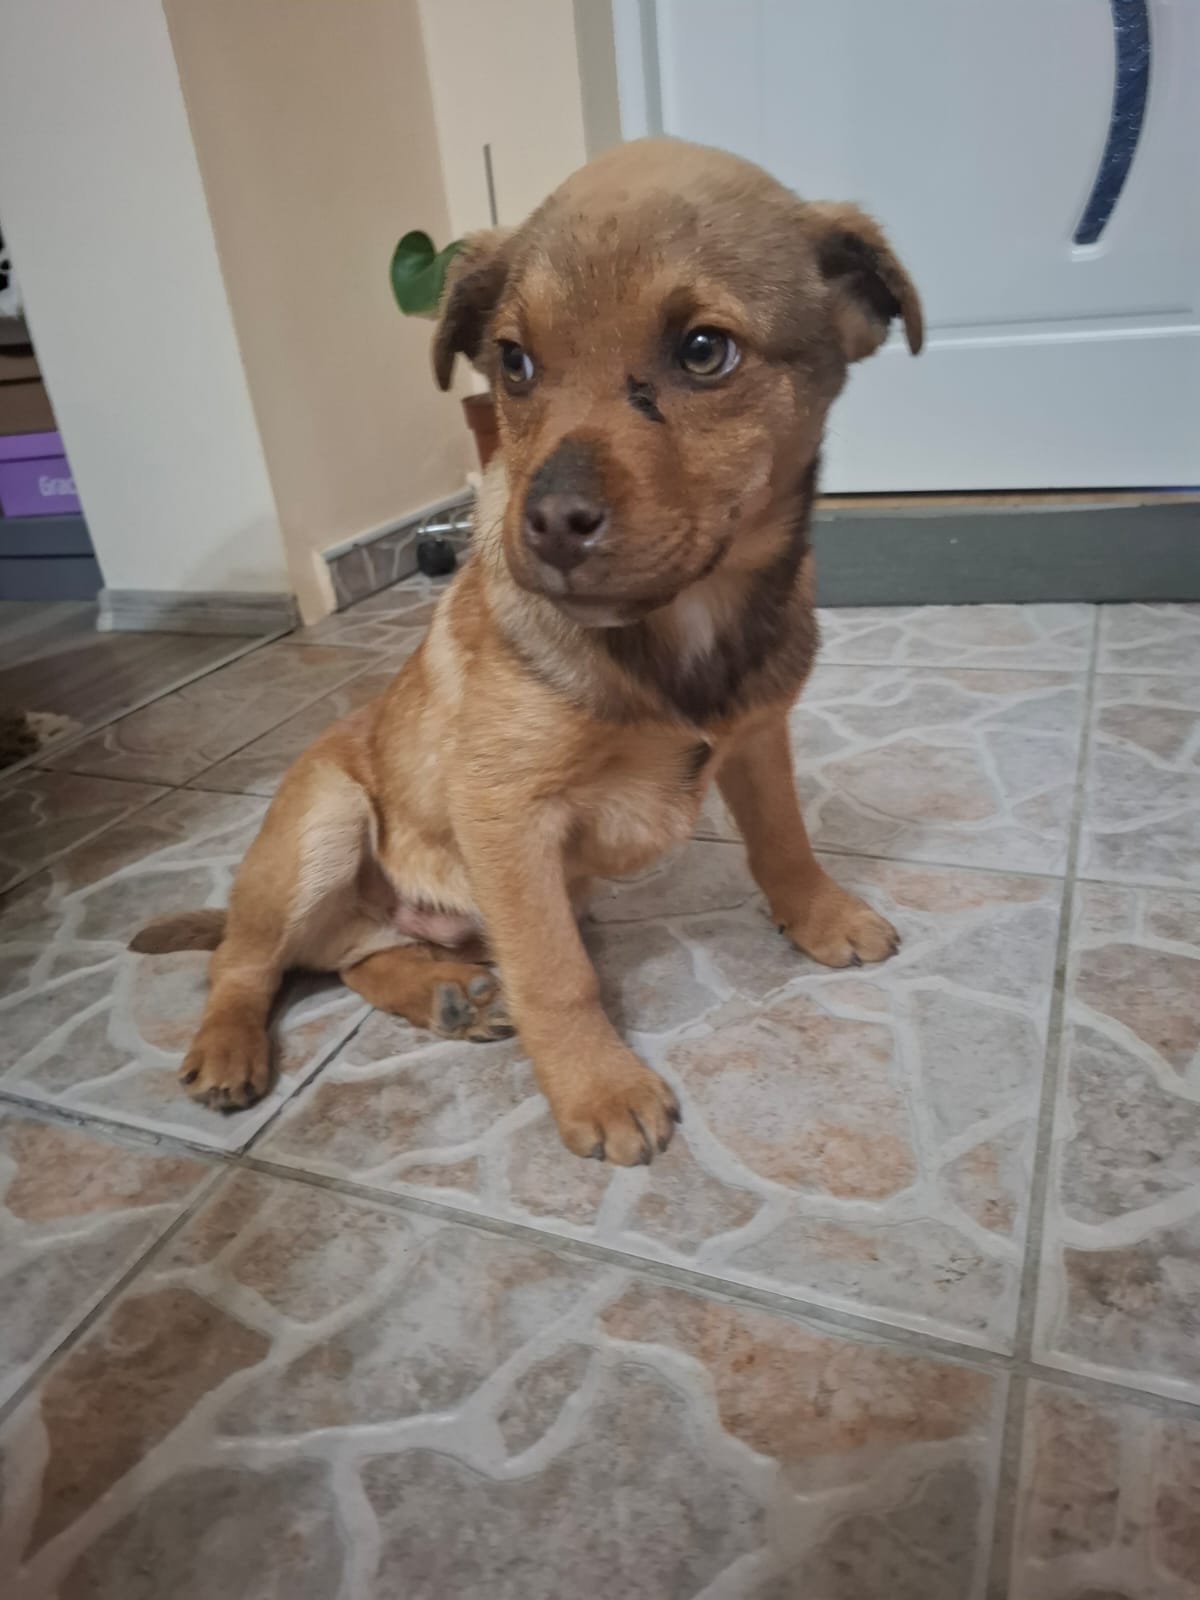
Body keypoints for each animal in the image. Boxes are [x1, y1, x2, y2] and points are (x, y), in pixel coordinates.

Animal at [132, 137, 922, 1166]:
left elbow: (783, 839)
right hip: (321, 824)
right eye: (514, 362)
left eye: (704, 351)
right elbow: (556, 972)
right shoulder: (505, 812)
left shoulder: (757, 740)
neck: (679, 629)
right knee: (246, 959)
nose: (546, 524)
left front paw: (823, 917)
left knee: (351, 958)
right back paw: (231, 1046)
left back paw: (445, 994)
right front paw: (600, 1088)